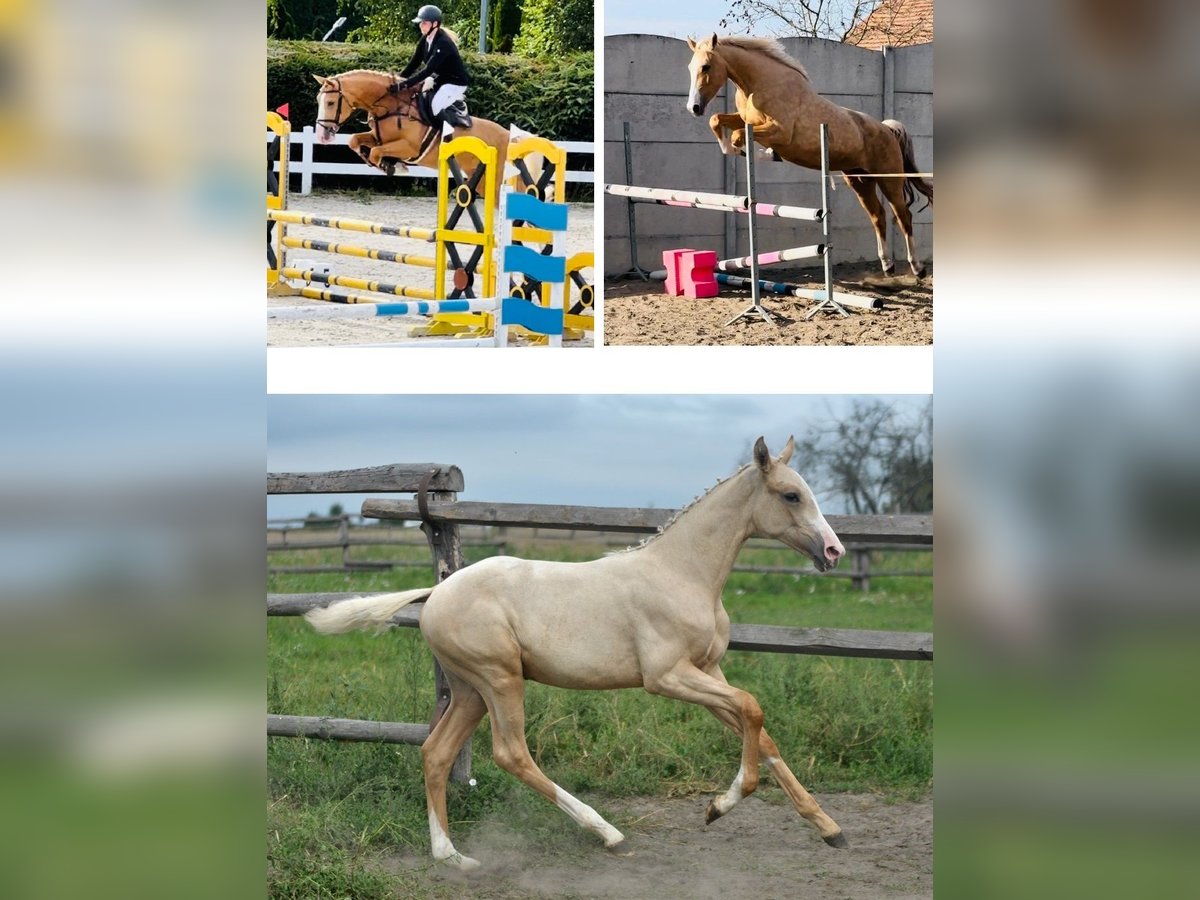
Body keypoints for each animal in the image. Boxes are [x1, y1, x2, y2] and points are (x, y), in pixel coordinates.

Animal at [309, 436, 854, 873]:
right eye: (791, 494)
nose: (834, 552)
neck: (682, 574)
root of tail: (436, 592)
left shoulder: (708, 671)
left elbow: (759, 731)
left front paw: (829, 828)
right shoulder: (667, 677)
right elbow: (752, 708)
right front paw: (719, 806)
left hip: (470, 691)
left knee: (435, 753)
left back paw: (452, 857)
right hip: (499, 680)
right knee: (511, 753)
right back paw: (608, 833)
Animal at [686, 36, 936, 278]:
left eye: (706, 66)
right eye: (690, 67)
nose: (694, 108)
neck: (759, 84)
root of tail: (888, 129)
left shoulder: (779, 132)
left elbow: (739, 135)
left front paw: (759, 153)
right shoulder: (746, 120)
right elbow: (718, 120)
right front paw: (740, 150)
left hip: (888, 179)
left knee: (903, 216)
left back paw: (918, 268)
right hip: (860, 181)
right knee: (878, 216)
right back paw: (887, 266)